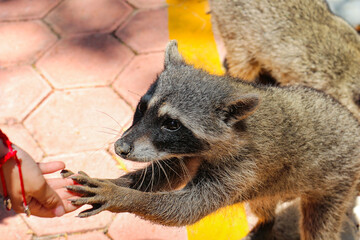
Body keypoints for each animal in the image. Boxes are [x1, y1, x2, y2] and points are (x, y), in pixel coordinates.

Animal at [65, 41, 360, 240]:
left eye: (172, 124)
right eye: (141, 107)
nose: (121, 148)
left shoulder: (244, 168)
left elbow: (187, 208)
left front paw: (123, 196)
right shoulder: (187, 152)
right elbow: (167, 175)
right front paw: (116, 182)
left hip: (338, 182)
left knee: (318, 227)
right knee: (262, 203)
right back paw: (266, 222)